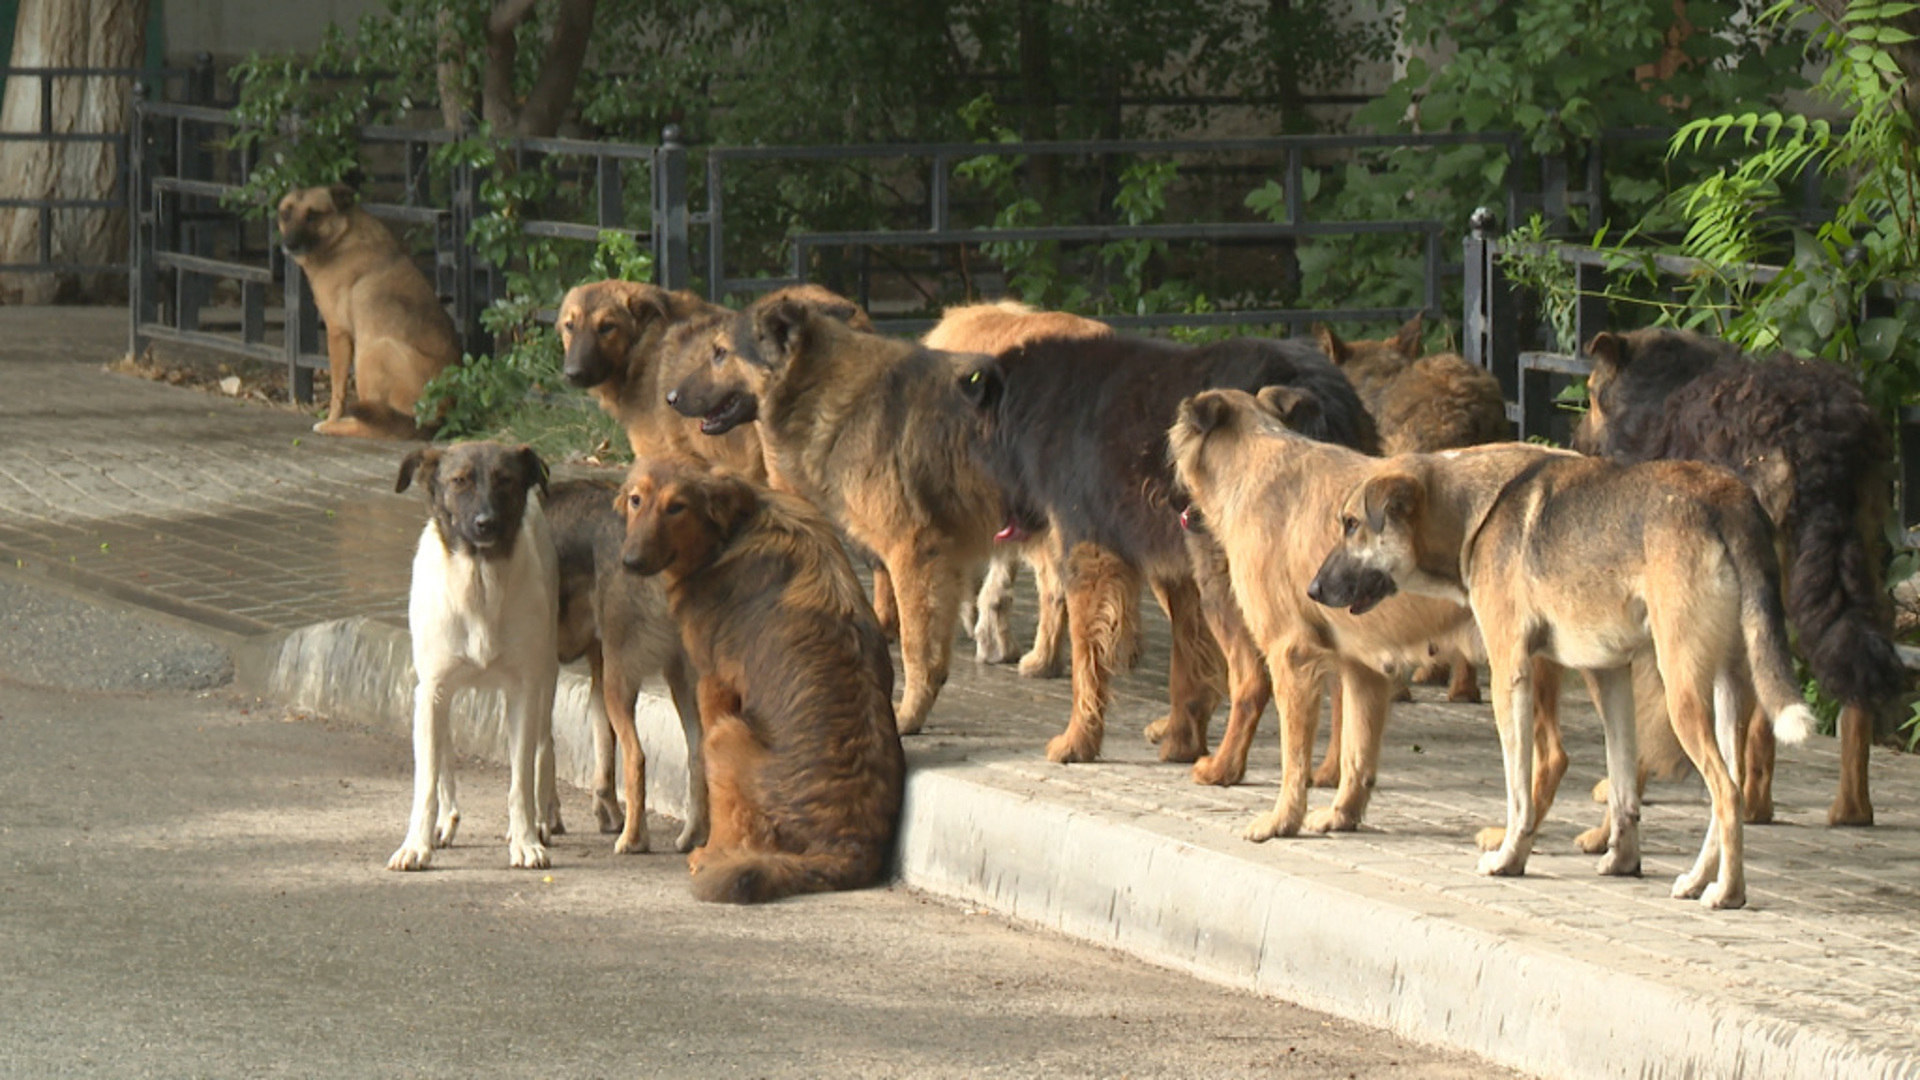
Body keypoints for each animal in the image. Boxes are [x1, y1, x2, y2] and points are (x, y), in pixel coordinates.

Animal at [278, 183, 460, 438]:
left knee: (369, 425)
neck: (341, 236)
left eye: (312, 215)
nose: (289, 244)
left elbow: (337, 391)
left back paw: (334, 426)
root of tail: (439, 418)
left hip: (373, 350)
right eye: (285, 214)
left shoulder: (337, 332)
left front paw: (331, 418)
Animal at [545, 476, 710, 849]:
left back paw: (634, 840)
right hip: (677, 683)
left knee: (636, 757)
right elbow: (602, 756)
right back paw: (691, 837)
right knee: (697, 756)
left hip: (620, 681)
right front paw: (604, 815)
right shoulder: (594, 671)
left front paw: (545, 822)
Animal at [618, 453, 910, 899]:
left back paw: (708, 855)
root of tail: (848, 847)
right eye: (637, 500)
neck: (733, 530)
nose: (629, 562)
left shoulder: (713, 683)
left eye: (677, 507)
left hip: (727, 735)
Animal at [1305, 441, 1812, 903]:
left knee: (1727, 793)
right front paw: (1623, 861)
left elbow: (1519, 791)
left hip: (1682, 694)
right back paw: (1697, 880)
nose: (1312, 590)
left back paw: (1728, 891)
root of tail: (1729, 498)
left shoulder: (1511, 672)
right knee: (1731, 788)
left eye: (1351, 525)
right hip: (1726, 691)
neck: (1474, 513)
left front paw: (1509, 857)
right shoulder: (1610, 677)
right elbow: (1623, 788)